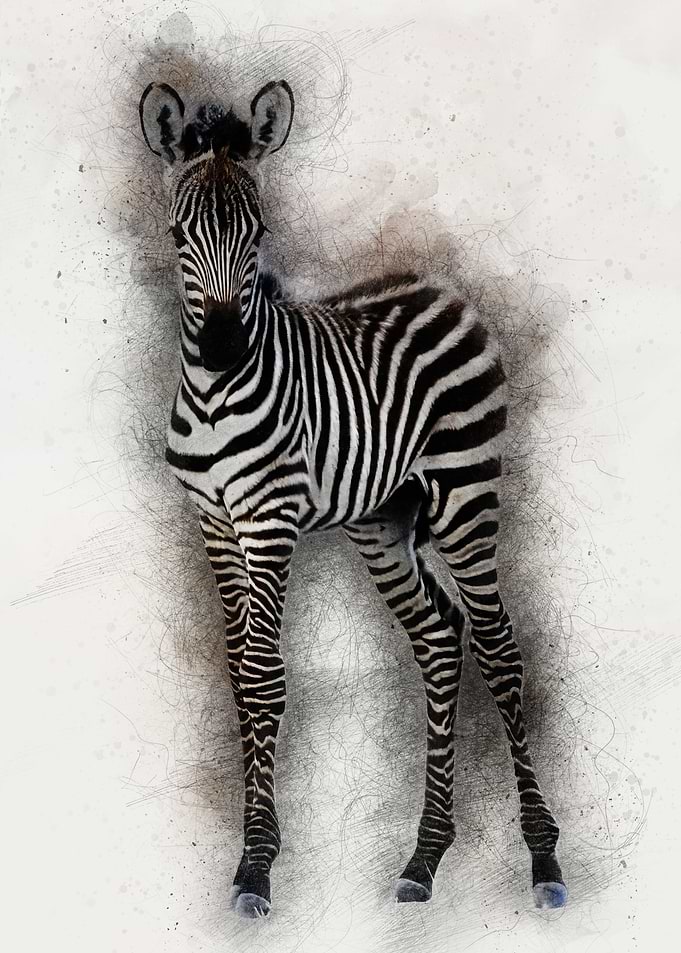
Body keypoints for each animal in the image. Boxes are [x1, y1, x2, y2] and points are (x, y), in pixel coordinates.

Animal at [138, 78, 568, 919]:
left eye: (260, 232)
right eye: (178, 232)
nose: (223, 350)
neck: (213, 396)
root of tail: (440, 285)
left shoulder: (269, 517)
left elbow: (265, 675)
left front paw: (255, 868)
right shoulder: (213, 520)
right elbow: (239, 673)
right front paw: (253, 854)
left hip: (466, 492)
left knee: (499, 647)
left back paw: (543, 859)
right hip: (380, 517)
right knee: (437, 638)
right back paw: (423, 858)